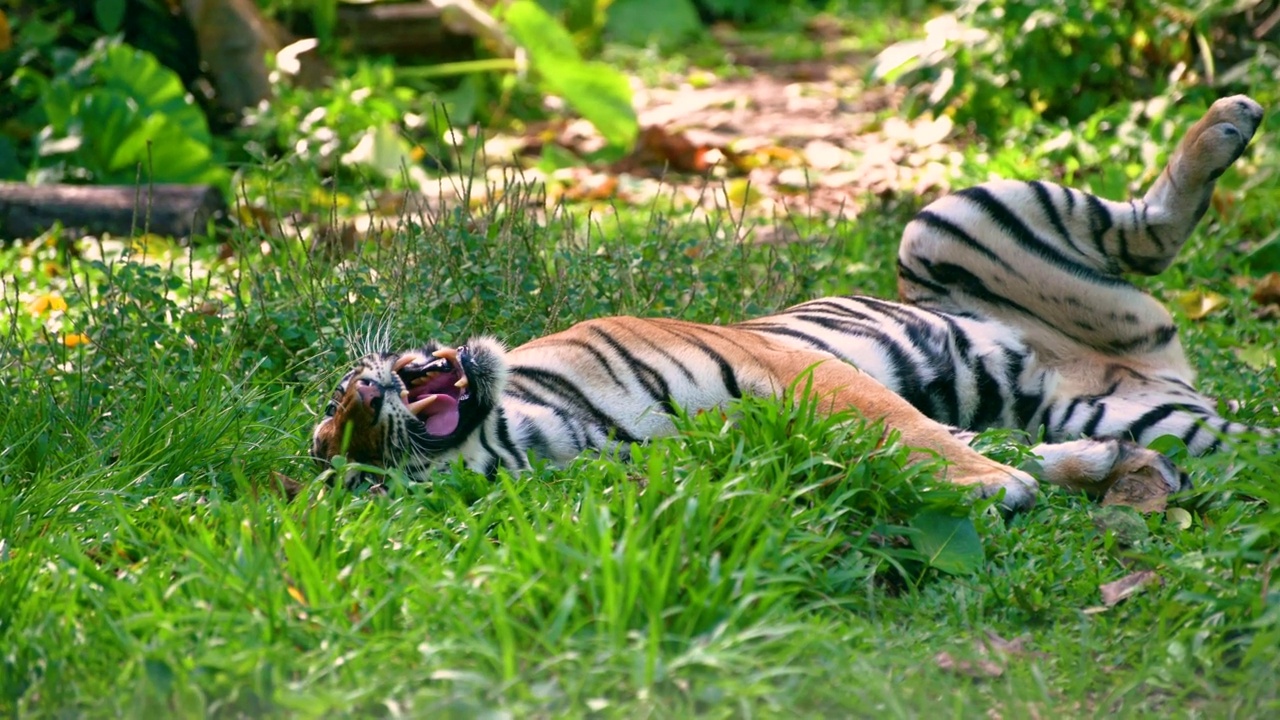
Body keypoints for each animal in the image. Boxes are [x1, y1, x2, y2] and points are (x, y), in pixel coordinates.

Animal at [309, 94, 1269, 509]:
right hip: (1169, 413)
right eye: (346, 454)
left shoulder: (789, 365)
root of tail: (1160, 373)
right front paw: (1061, 476)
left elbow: (909, 428)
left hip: (945, 222)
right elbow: (932, 446)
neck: (551, 429)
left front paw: (1003, 484)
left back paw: (1230, 119)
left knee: (1148, 226)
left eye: (330, 417)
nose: (365, 389)